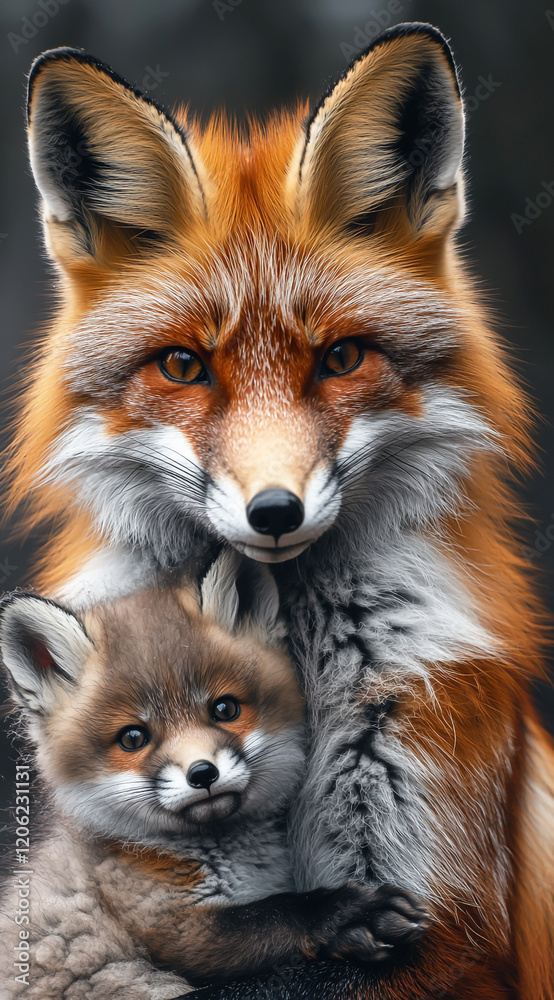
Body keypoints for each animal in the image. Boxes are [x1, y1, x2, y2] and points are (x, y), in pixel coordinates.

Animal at [0, 551, 428, 999]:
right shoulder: (170, 925)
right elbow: (275, 914)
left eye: (224, 709)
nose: (202, 773)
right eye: (133, 737)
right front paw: (348, 915)